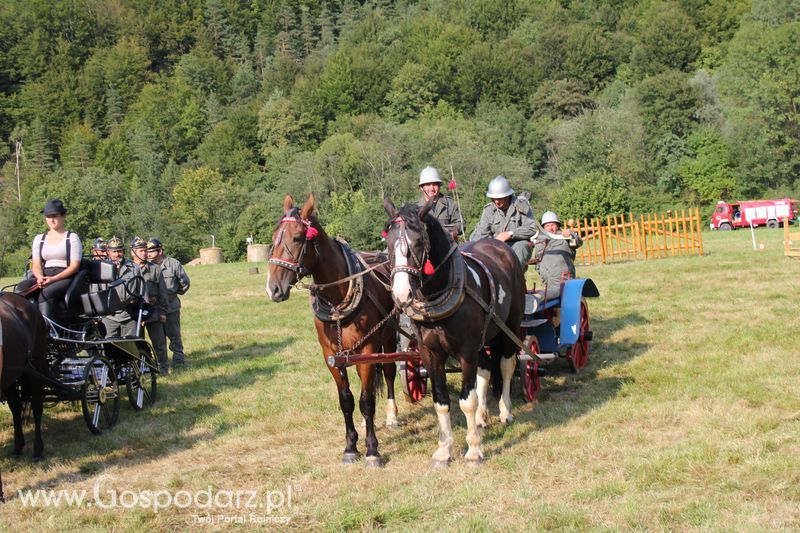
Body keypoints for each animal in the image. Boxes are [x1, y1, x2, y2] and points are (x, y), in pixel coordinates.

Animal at [266, 194, 396, 466]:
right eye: (273, 238)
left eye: (297, 238)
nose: (273, 288)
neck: (338, 300)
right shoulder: (331, 356)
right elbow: (346, 400)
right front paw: (350, 447)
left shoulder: (367, 351)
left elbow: (366, 401)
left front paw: (372, 450)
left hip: (389, 337)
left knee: (389, 374)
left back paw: (392, 416)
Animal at [384, 197, 528, 464]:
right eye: (388, 243)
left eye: (418, 242)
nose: (401, 295)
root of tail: (500, 246)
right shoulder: (429, 352)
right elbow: (441, 401)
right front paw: (444, 449)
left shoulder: (466, 350)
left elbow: (466, 400)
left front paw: (473, 450)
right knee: (486, 368)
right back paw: (481, 417)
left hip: (510, 326)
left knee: (506, 365)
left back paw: (505, 411)